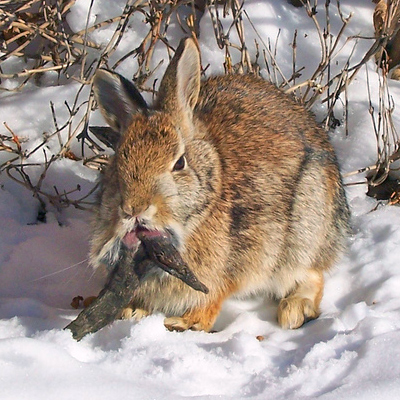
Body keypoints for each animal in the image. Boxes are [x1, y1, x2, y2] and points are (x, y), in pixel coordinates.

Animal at [90, 38, 350, 332]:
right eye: (117, 162)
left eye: (179, 163)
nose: (134, 209)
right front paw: (133, 311)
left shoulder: (230, 268)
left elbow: (212, 298)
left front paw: (185, 323)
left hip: (305, 229)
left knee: (311, 275)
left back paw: (295, 310)